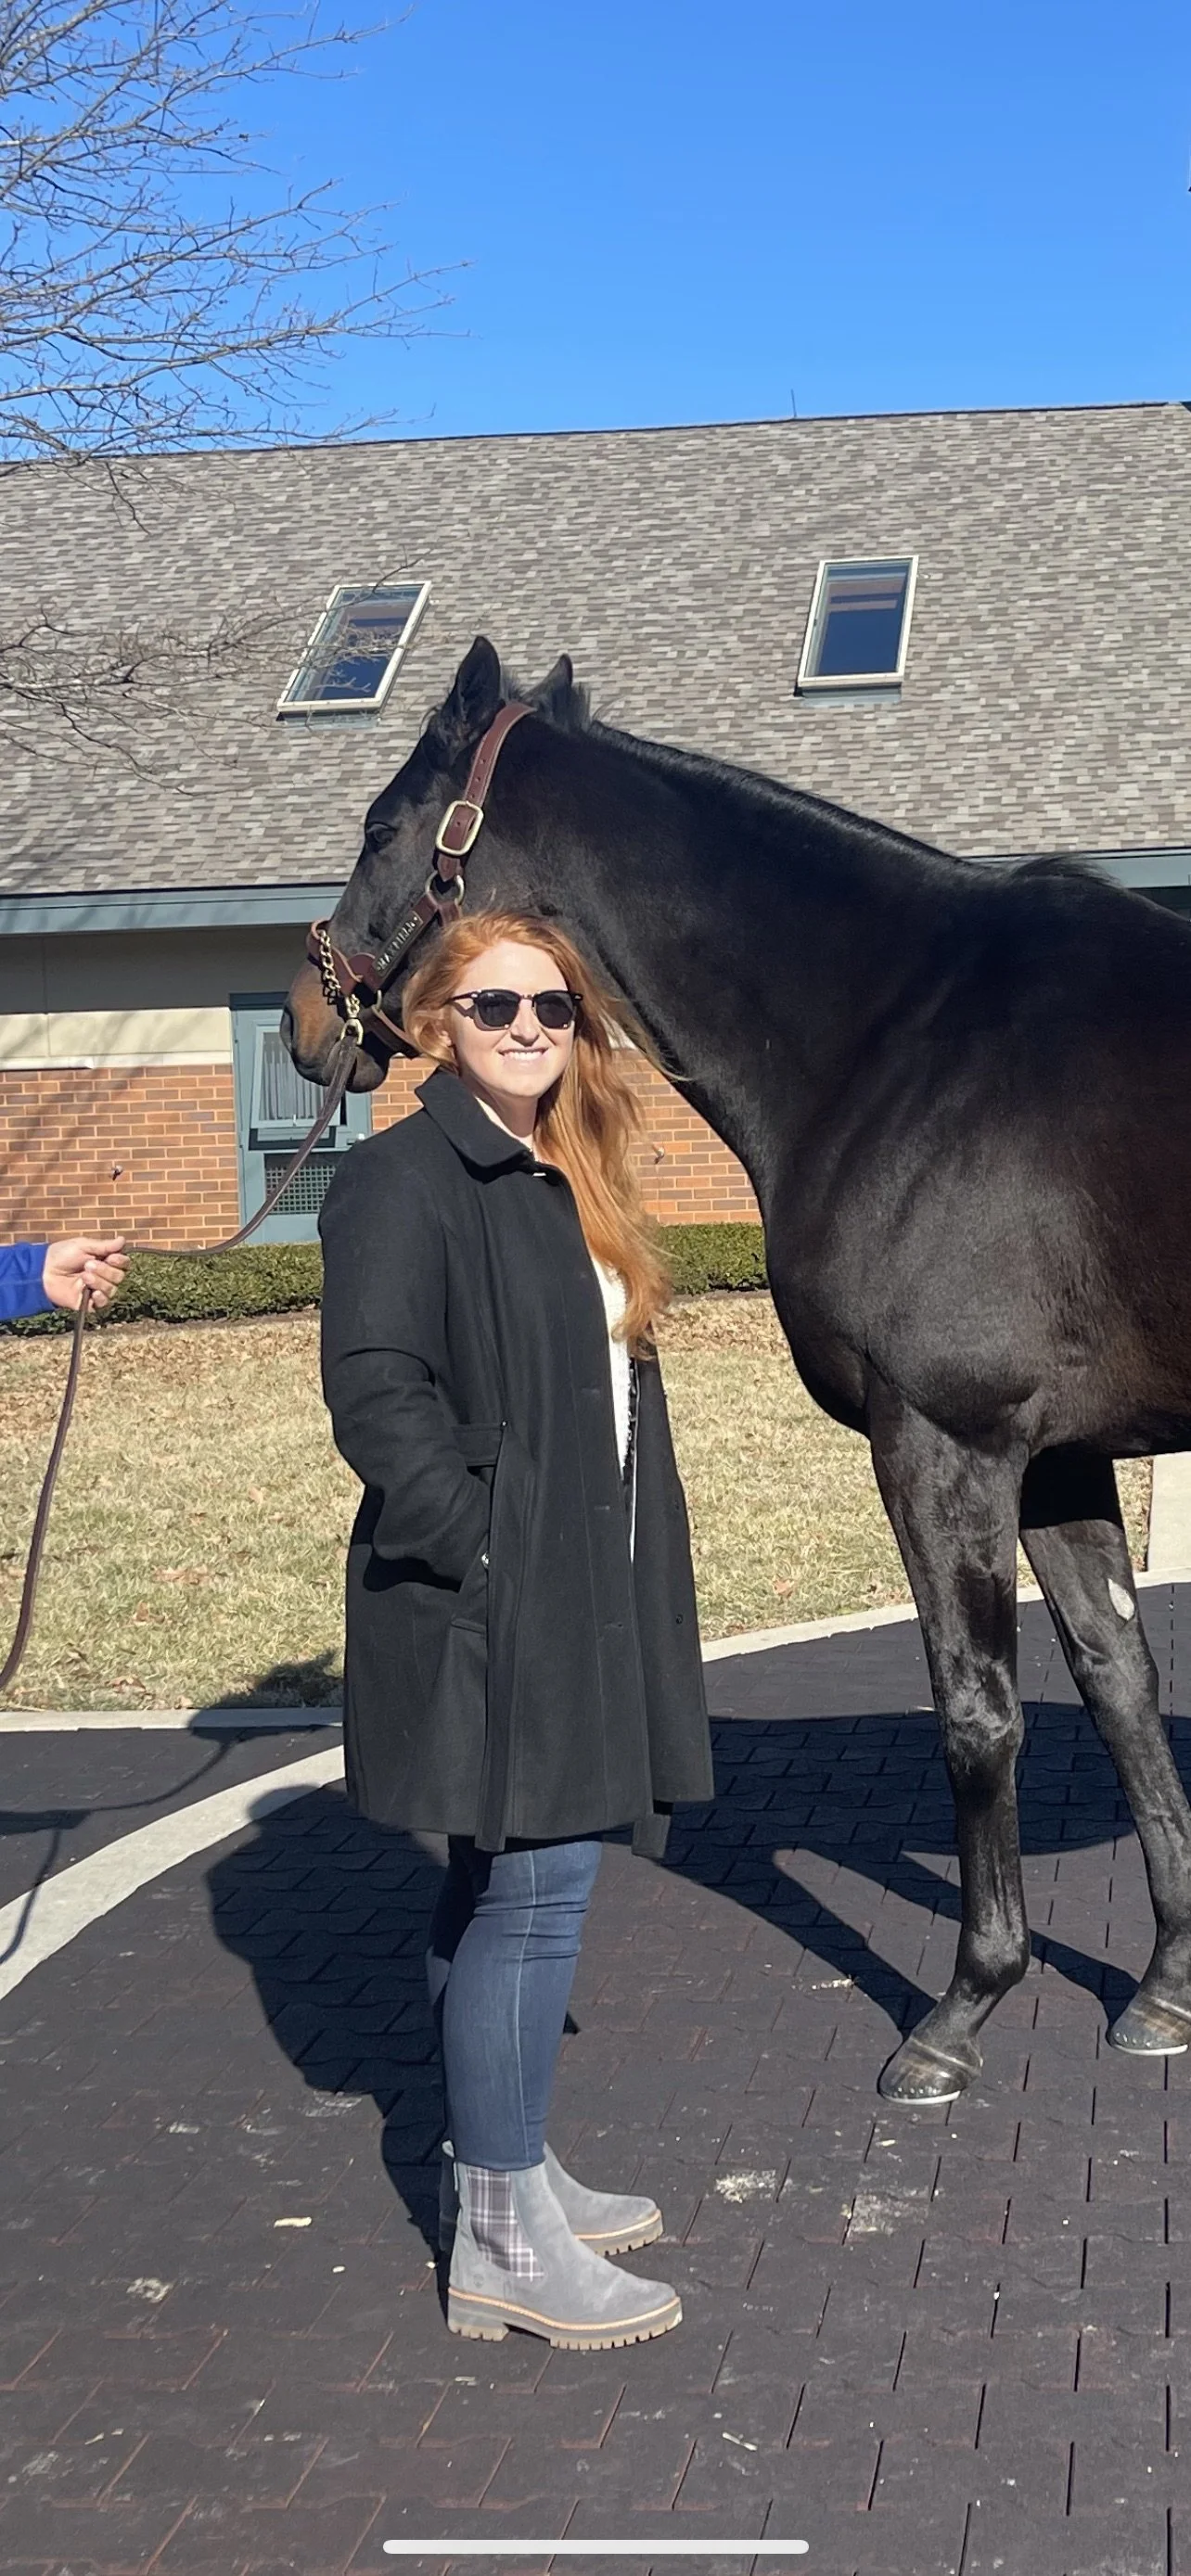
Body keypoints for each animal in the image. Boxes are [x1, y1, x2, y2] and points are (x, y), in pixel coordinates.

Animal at [283, 633, 1191, 2106]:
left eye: (381, 823)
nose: (309, 1015)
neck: (899, 1034)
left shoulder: (946, 1443)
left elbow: (978, 1714)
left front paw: (962, 2008)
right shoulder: (1055, 1456)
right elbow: (1119, 1688)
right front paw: (1165, 1984)